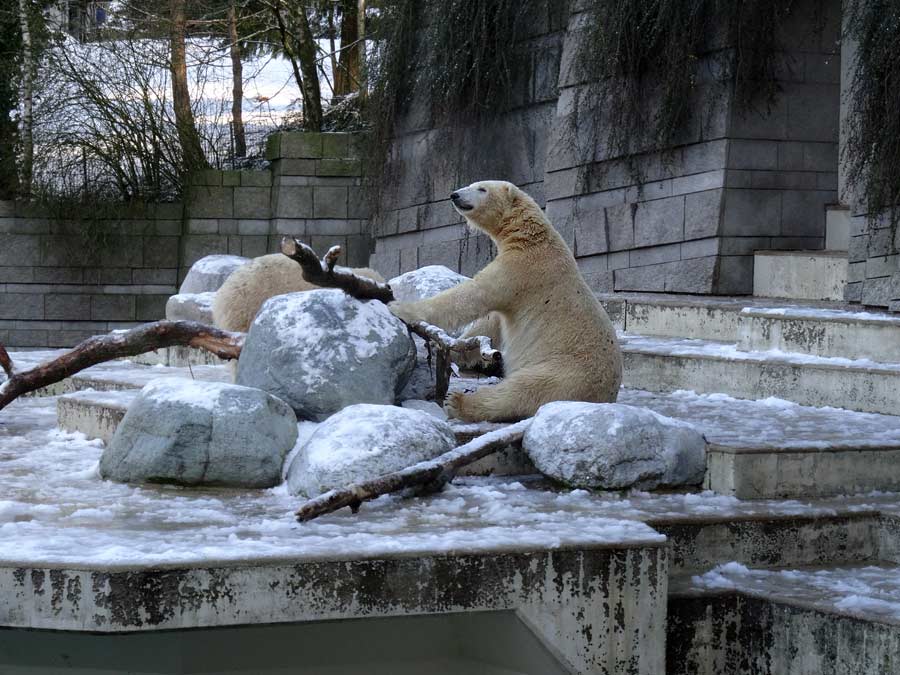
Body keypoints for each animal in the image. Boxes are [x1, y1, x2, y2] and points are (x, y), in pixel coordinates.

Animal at [390, 180, 624, 422]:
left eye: (482, 189)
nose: (455, 195)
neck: (531, 238)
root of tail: (607, 396)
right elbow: (489, 323)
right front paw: (449, 349)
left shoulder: (520, 269)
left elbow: (472, 296)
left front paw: (402, 308)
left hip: (565, 372)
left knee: (524, 389)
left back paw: (458, 402)